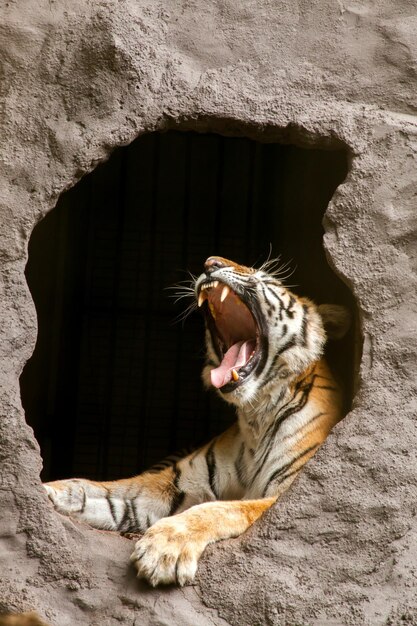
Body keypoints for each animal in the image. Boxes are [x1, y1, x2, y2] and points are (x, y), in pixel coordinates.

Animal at [44, 254, 350, 584]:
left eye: (263, 275)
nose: (211, 262)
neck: (255, 416)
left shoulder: (282, 495)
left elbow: (220, 509)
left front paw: (163, 548)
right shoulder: (173, 483)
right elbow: (99, 490)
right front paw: (45, 490)